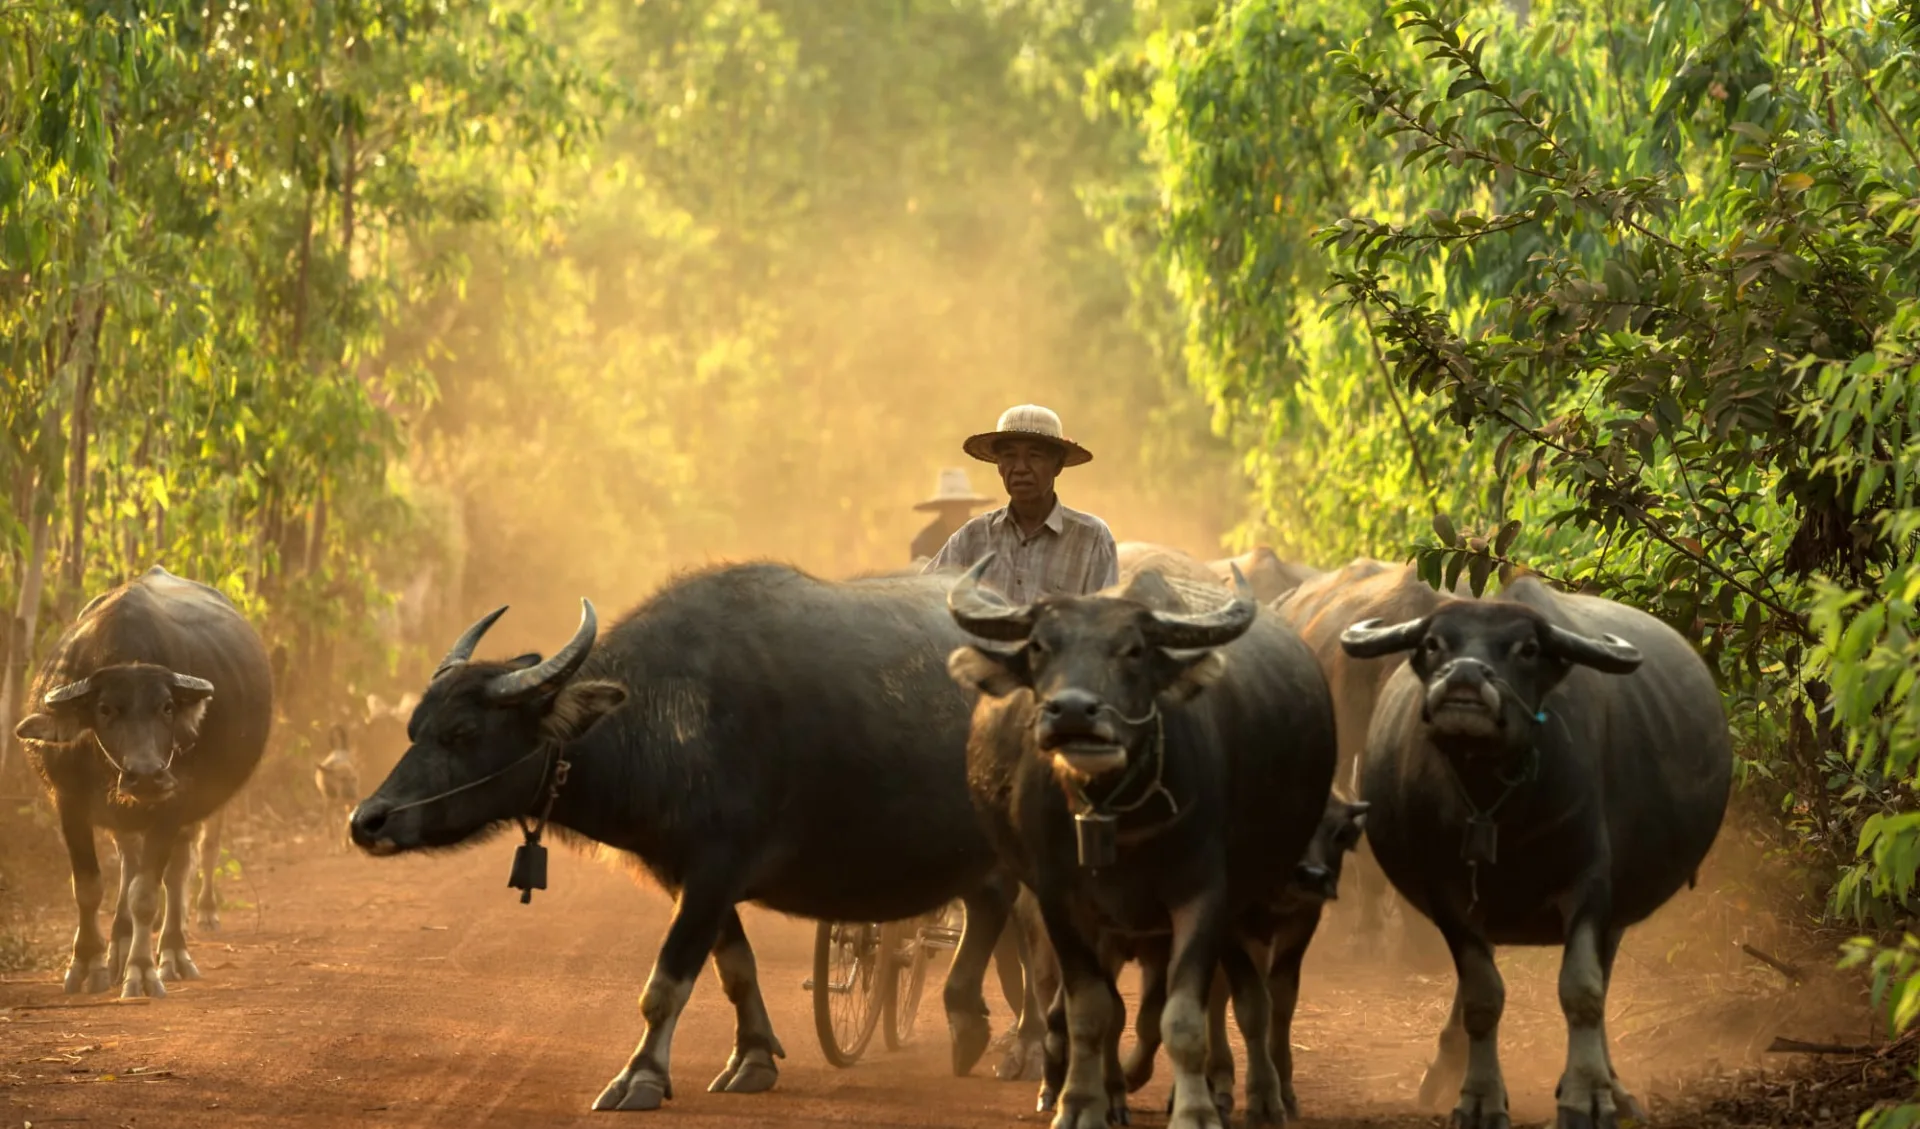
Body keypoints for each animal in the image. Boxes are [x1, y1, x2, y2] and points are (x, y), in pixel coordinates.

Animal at [11, 564, 272, 998]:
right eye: (104, 709)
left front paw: (142, 970)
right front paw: (88, 963)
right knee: (129, 861)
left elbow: (148, 893)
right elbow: (88, 887)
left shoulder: (173, 804)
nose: (147, 775)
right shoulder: (68, 801)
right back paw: (117, 946)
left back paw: (172, 953)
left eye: (166, 707)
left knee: (176, 870)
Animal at [353, 568, 1029, 1113]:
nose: (368, 820)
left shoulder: (713, 871)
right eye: (415, 728)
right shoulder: (694, 877)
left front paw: (640, 1078)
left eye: (464, 733)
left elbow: (666, 983)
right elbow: (736, 969)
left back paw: (1024, 1047)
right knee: (992, 909)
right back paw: (968, 1022)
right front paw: (753, 1058)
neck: (667, 724)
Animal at [944, 560, 1336, 1121]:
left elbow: (1183, 1016)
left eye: (1134, 650)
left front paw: (1195, 1111)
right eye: (1039, 646)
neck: (1117, 818)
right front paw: (1079, 1104)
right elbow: (1090, 1009)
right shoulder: (1060, 900)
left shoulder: (1204, 898)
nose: (1072, 712)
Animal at [1336, 576, 1743, 1121]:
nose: (1465, 675)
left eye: (1527, 649)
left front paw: (1588, 1093)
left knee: (1602, 977)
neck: (1499, 804)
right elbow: (1482, 997)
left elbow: (1583, 991)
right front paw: (1479, 1097)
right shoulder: (1449, 897)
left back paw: (1615, 1088)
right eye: (1435, 643)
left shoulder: (1590, 885)